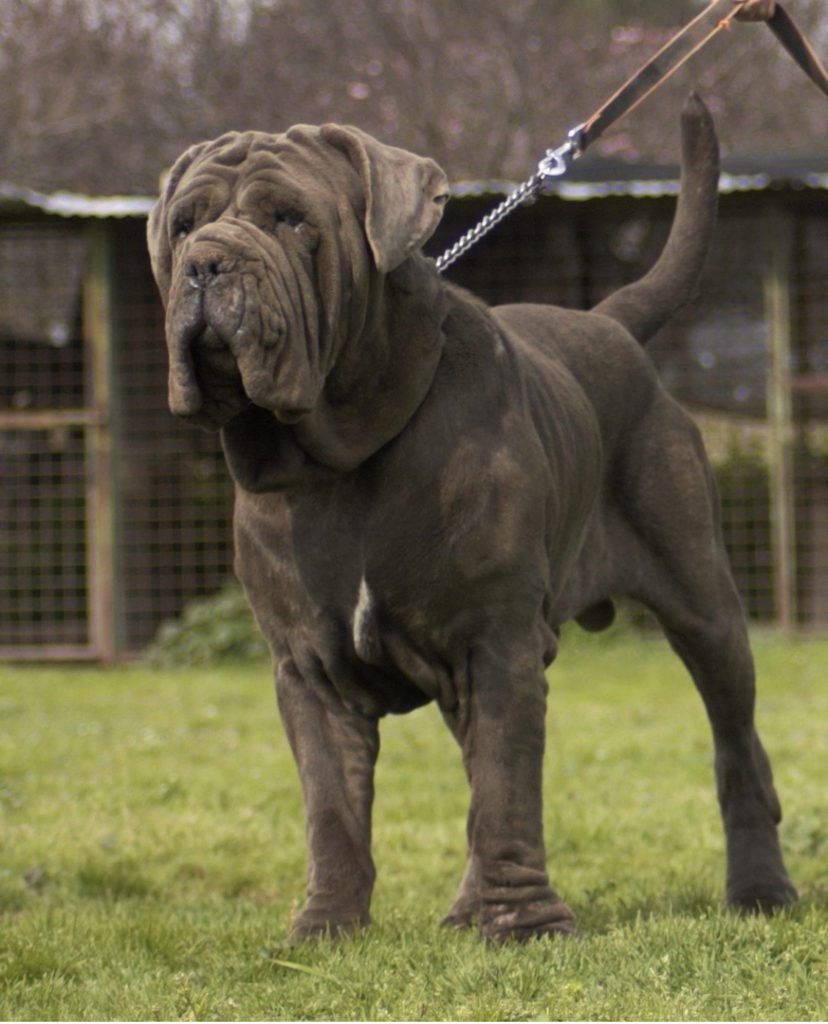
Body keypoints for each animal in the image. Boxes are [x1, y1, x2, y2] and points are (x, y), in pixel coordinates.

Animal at [147, 97, 794, 942]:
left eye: (289, 218)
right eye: (184, 225)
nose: (207, 263)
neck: (344, 453)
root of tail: (610, 323)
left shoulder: (495, 639)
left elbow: (507, 789)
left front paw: (523, 925)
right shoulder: (309, 667)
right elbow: (335, 809)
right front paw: (326, 926)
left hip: (703, 602)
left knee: (736, 744)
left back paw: (761, 890)